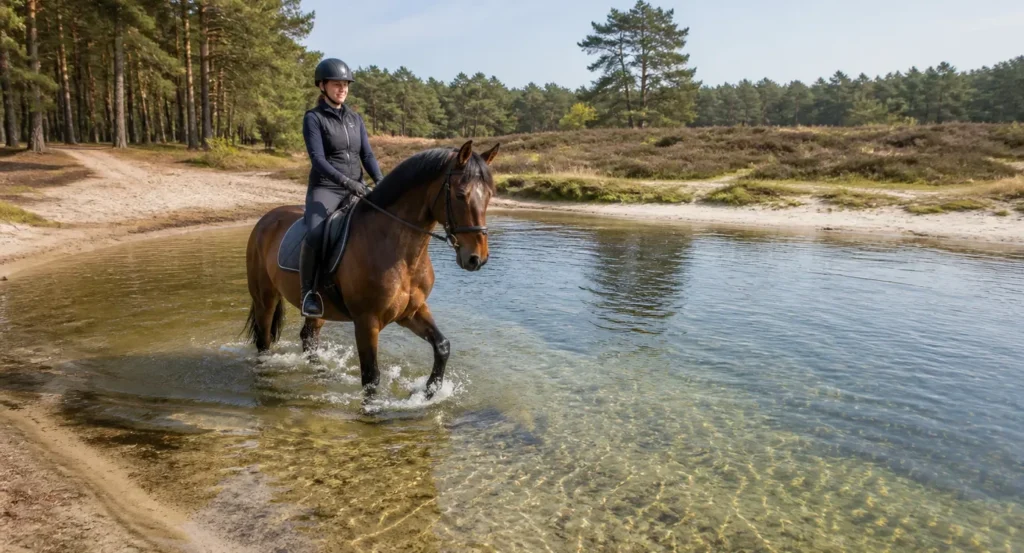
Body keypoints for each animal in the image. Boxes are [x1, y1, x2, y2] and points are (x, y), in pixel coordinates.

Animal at [243, 140, 499, 398]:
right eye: (460, 194)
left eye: (489, 195)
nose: (477, 258)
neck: (399, 252)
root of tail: (267, 218)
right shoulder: (367, 321)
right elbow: (371, 377)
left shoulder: (411, 311)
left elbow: (442, 346)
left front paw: (429, 391)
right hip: (265, 298)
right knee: (264, 341)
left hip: (320, 311)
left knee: (309, 339)